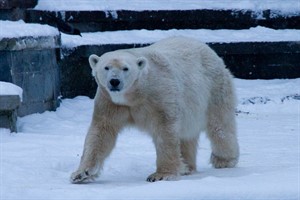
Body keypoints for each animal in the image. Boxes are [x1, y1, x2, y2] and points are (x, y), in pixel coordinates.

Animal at [69, 36, 239, 183]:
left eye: (125, 68)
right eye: (106, 67)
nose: (114, 81)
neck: (135, 95)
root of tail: (209, 50)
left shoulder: (159, 95)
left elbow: (165, 130)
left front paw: (161, 175)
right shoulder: (110, 102)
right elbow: (101, 132)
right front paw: (81, 173)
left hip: (214, 88)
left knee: (219, 125)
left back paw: (224, 159)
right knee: (187, 134)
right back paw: (186, 167)